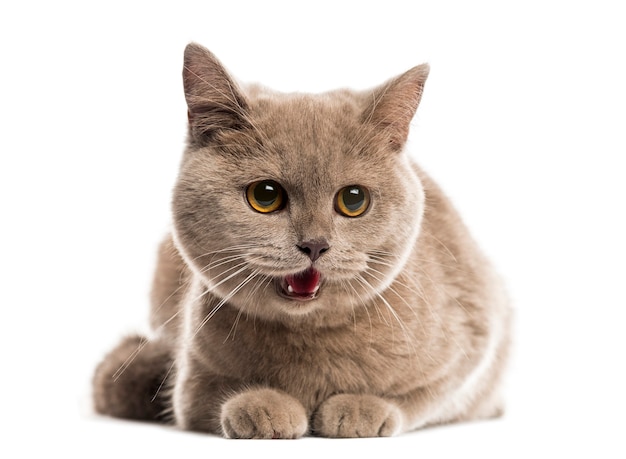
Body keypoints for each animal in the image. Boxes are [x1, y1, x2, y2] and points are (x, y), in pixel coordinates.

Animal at [94, 44, 512, 442]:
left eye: (354, 200)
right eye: (265, 196)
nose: (314, 245)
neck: (310, 341)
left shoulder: (475, 341)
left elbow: (422, 397)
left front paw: (359, 408)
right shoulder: (190, 383)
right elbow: (214, 396)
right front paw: (264, 406)